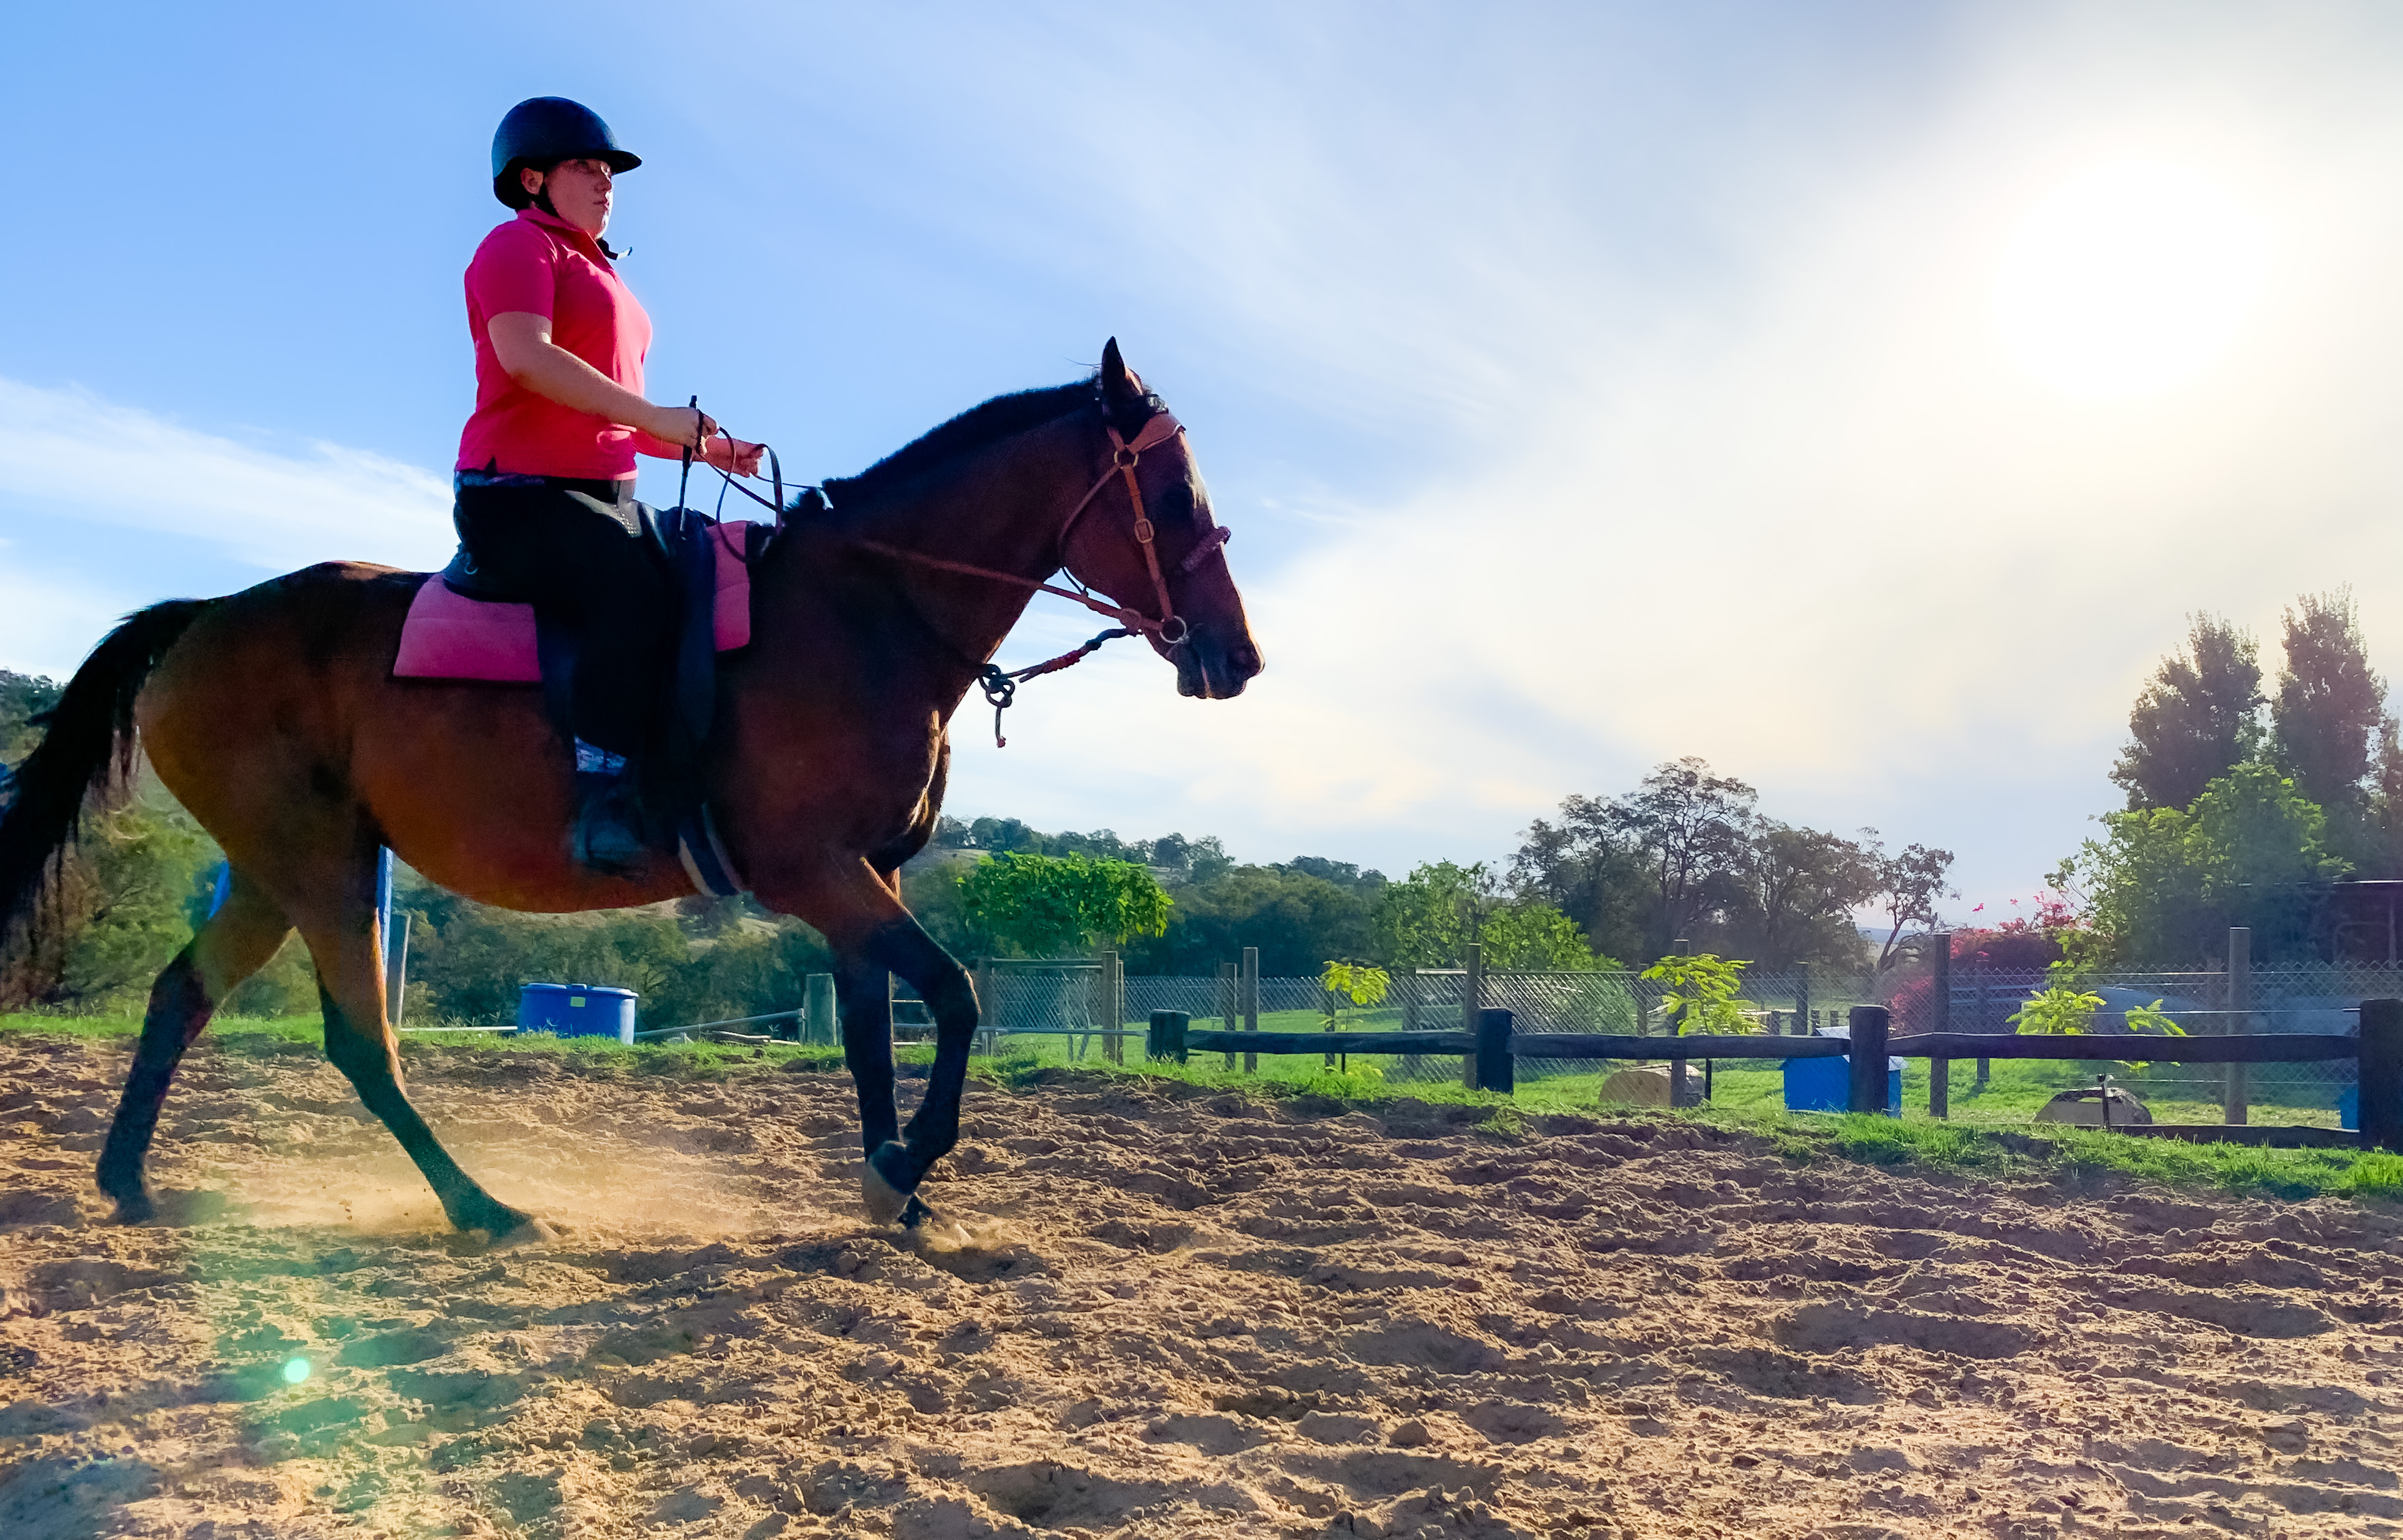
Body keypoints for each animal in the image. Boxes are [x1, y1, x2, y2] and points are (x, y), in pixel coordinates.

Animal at [0, 340, 1262, 1244]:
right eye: (1172, 494)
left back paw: (128, 1181)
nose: (1235, 656)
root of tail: (205, 616)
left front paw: (894, 1193)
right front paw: (905, 1165)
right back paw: (483, 1208)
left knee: (181, 994)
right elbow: (952, 997)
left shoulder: (864, 878)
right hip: (321, 867)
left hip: (276, 872)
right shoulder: (813, 871)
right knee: (362, 1042)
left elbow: (872, 1035)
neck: (862, 610)